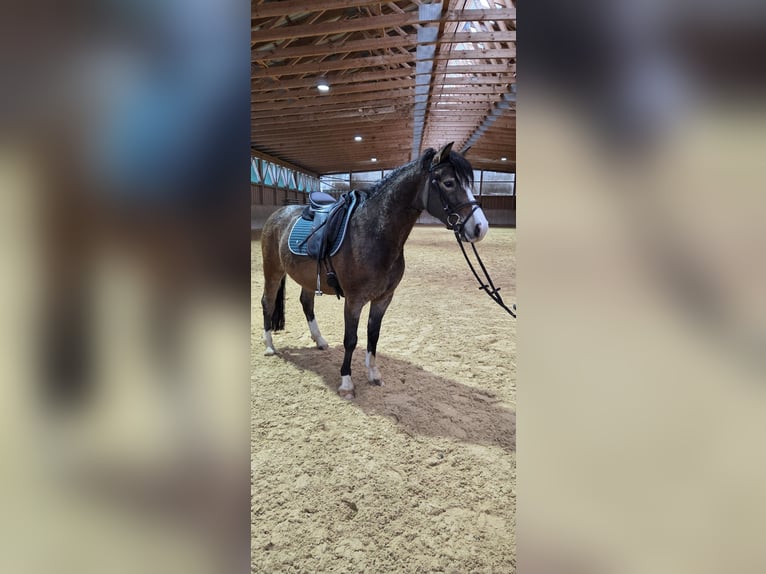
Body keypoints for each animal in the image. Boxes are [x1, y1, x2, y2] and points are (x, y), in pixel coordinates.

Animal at [259, 142, 489, 399]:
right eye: (449, 182)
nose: (480, 228)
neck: (373, 233)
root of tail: (279, 214)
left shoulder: (383, 298)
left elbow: (373, 335)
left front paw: (373, 374)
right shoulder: (354, 300)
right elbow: (351, 339)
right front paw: (347, 383)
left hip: (307, 278)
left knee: (306, 303)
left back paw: (319, 341)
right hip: (272, 270)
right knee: (268, 302)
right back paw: (269, 346)